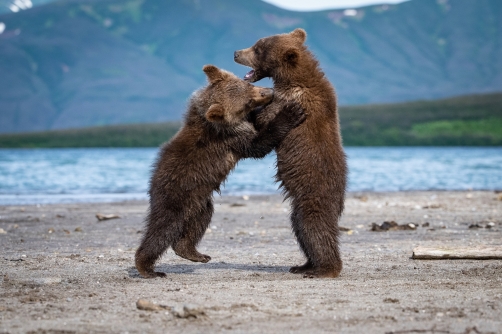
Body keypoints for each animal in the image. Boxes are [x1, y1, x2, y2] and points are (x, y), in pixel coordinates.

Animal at [135, 64, 304, 278]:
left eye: (248, 84)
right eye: (247, 101)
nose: (269, 92)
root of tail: (152, 187)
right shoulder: (231, 138)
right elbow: (258, 144)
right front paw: (290, 112)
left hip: (200, 202)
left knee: (199, 222)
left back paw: (194, 253)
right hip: (175, 196)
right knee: (162, 229)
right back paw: (148, 268)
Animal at [234, 28, 348, 278]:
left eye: (257, 49)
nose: (236, 52)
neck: (292, 78)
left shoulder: (290, 99)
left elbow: (265, 119)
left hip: (312, 200)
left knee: (315, 230)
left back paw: (324, 269)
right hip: (298, 209)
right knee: (301, 231)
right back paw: (304, 265)